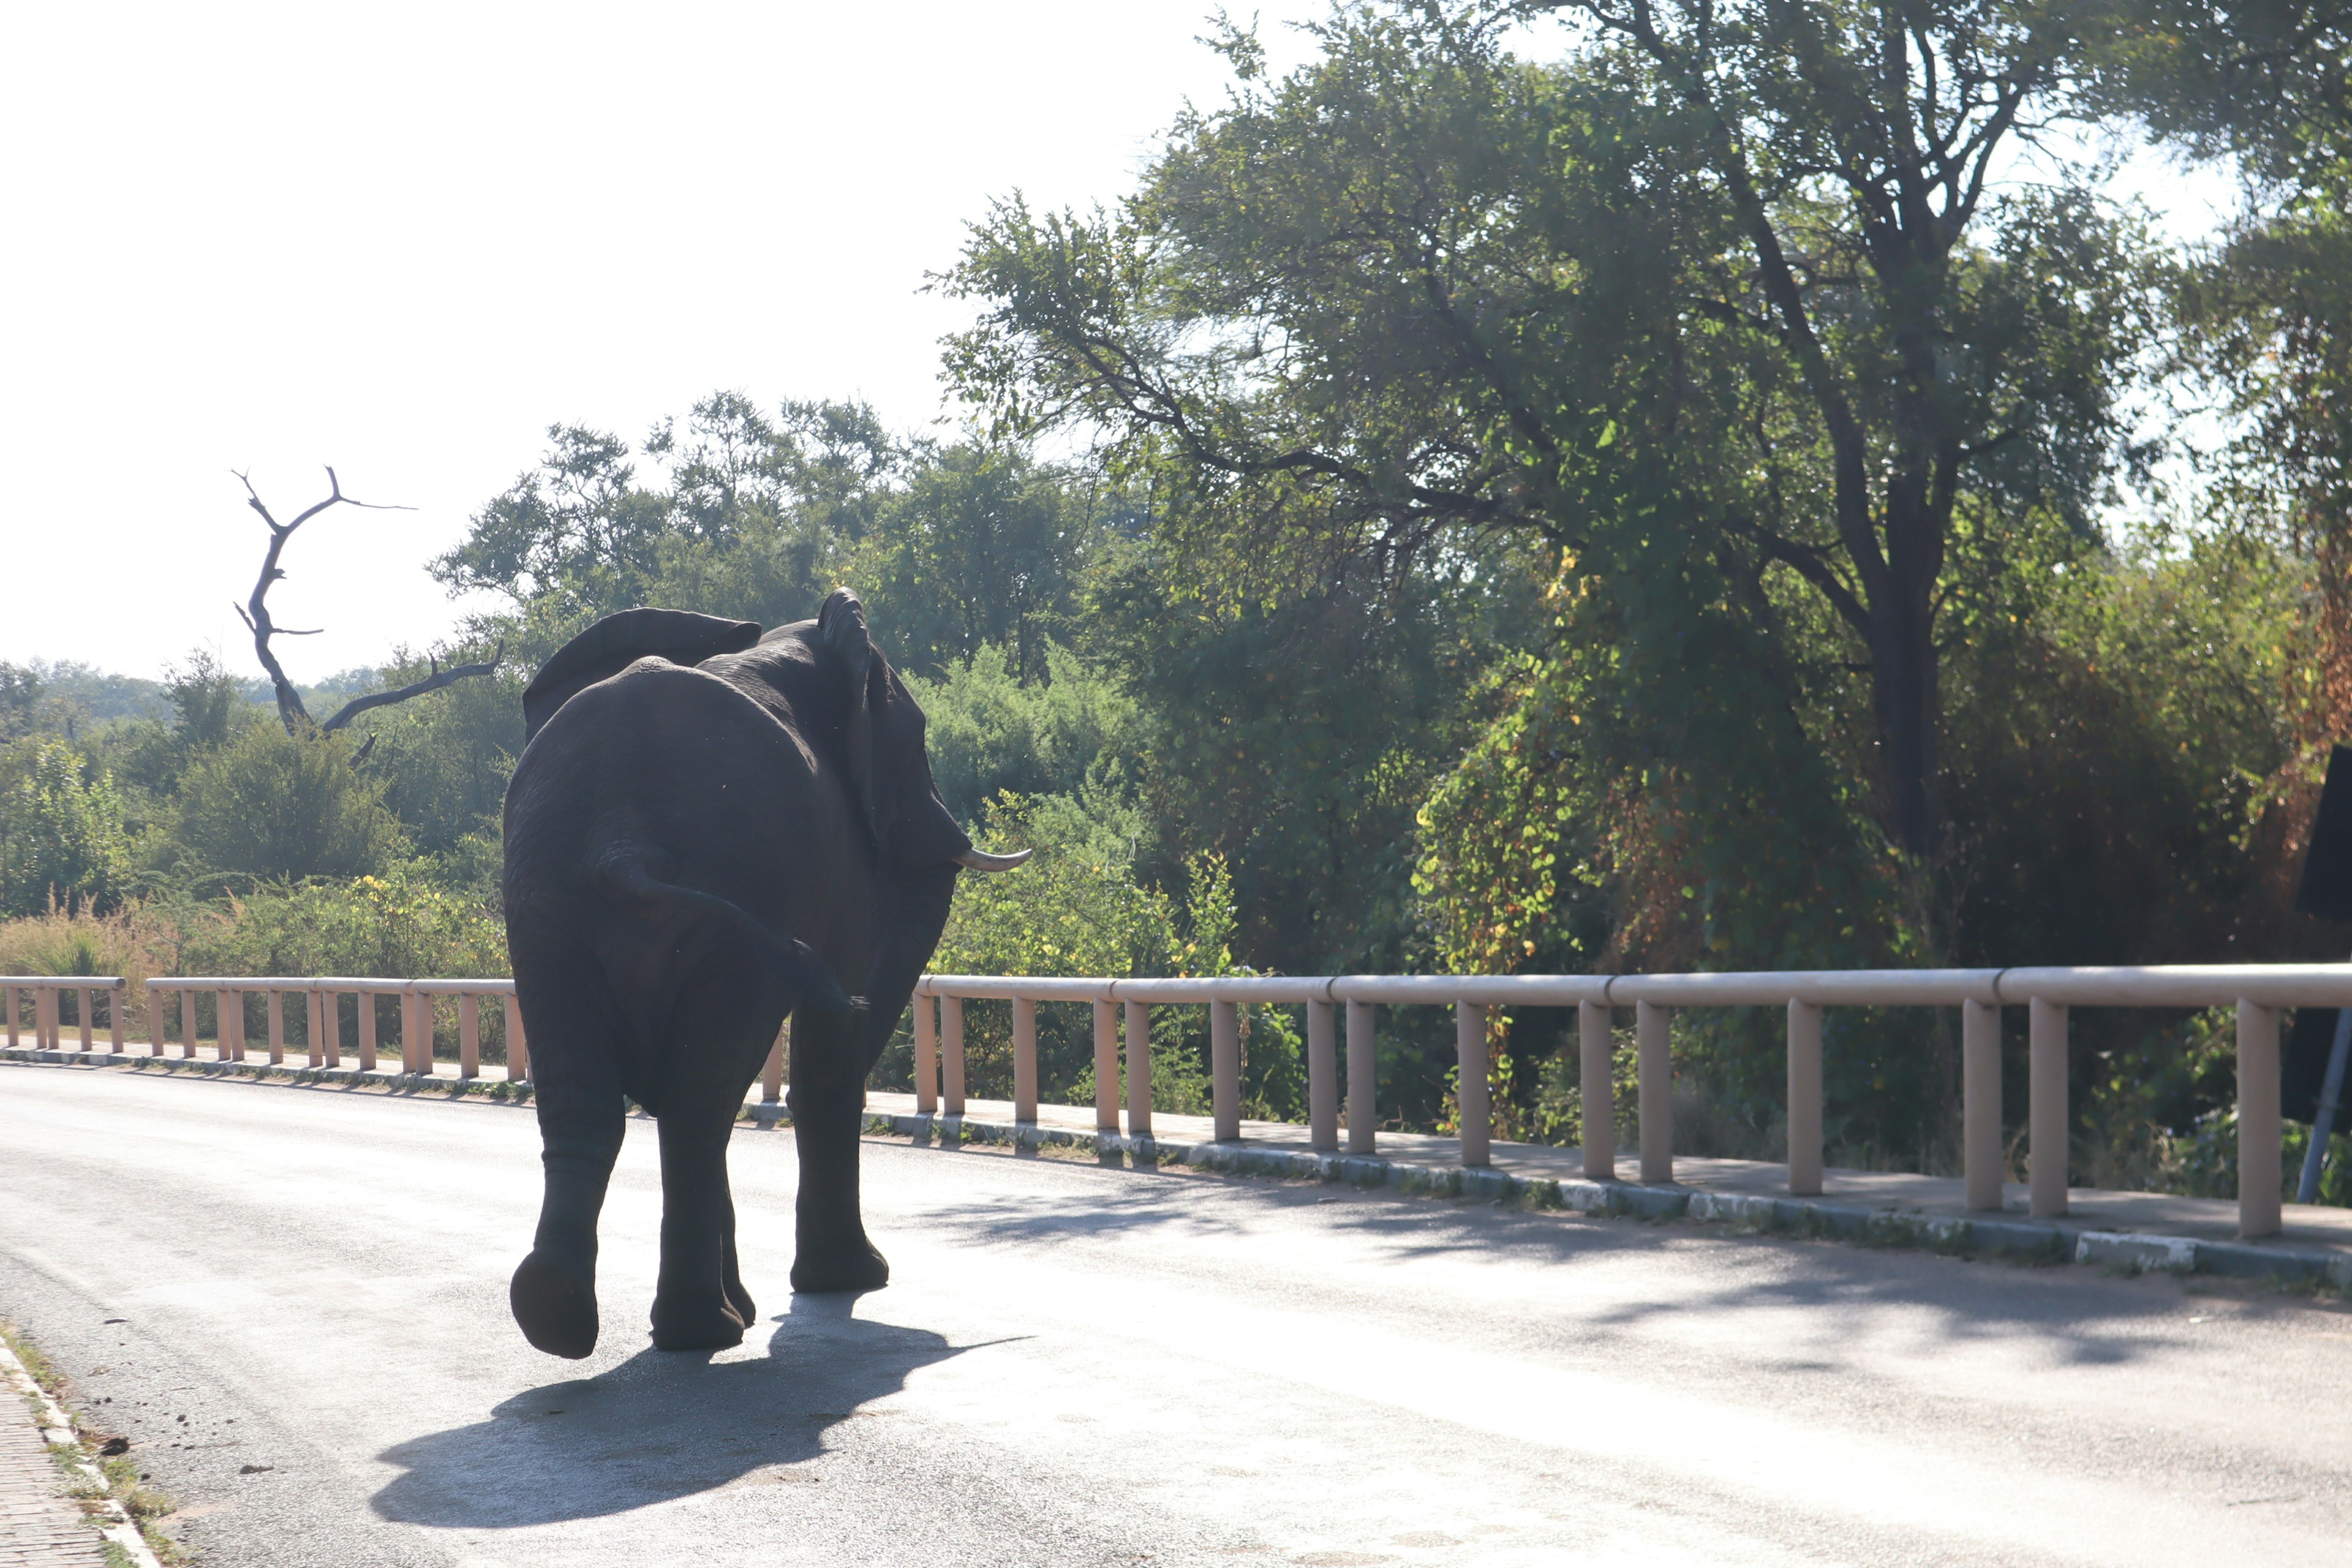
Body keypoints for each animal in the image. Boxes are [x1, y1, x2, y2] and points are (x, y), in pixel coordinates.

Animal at [500, 595, 1025, 1354]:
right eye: (920, 735)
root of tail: (621, 842)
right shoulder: (842, 869)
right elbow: (832, 1044)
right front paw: (850, 1281)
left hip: (546, 898)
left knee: (591, 1100)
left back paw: (560, 1314)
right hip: (737, 878)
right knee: (699, 1103)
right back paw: (705, 1330)